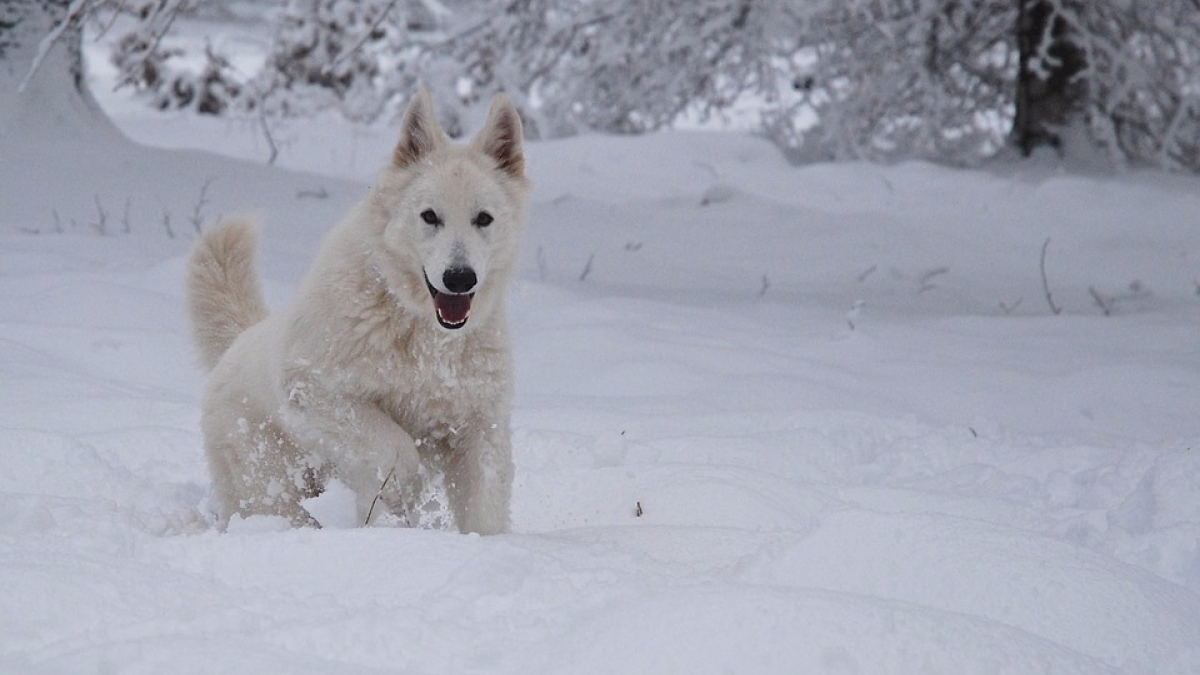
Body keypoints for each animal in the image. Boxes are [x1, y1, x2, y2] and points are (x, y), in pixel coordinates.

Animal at [183, 89, 530, 530]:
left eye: (483, 219)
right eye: (429, 216)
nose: (459, 278)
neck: (421, 332)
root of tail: (237, 342)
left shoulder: (479, 427)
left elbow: (484, 508)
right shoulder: (318, 390)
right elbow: (397, 450)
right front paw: (396, 503)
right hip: (273, 486)